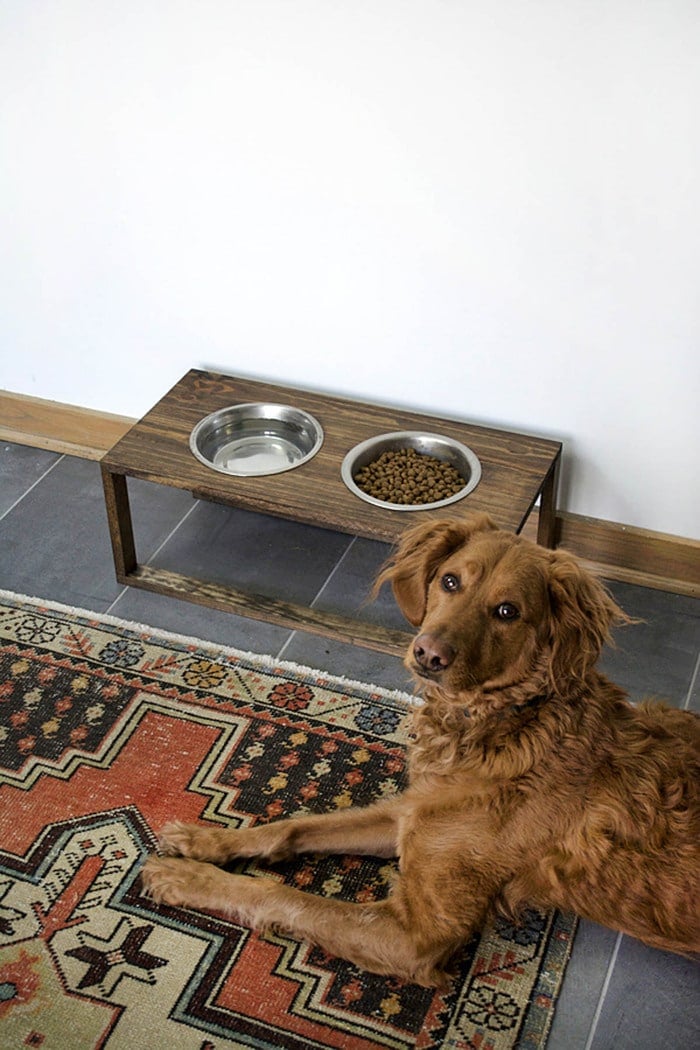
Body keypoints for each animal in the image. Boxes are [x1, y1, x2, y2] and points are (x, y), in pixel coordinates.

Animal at [139, 512, 696, 986]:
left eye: (507, 611)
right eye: (449, 581)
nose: (428, 653)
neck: (501, 728)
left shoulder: (419, 936)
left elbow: (281, 894)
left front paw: (186, 877)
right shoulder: (412, 815)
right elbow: (292, 828)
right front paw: (203, 841)